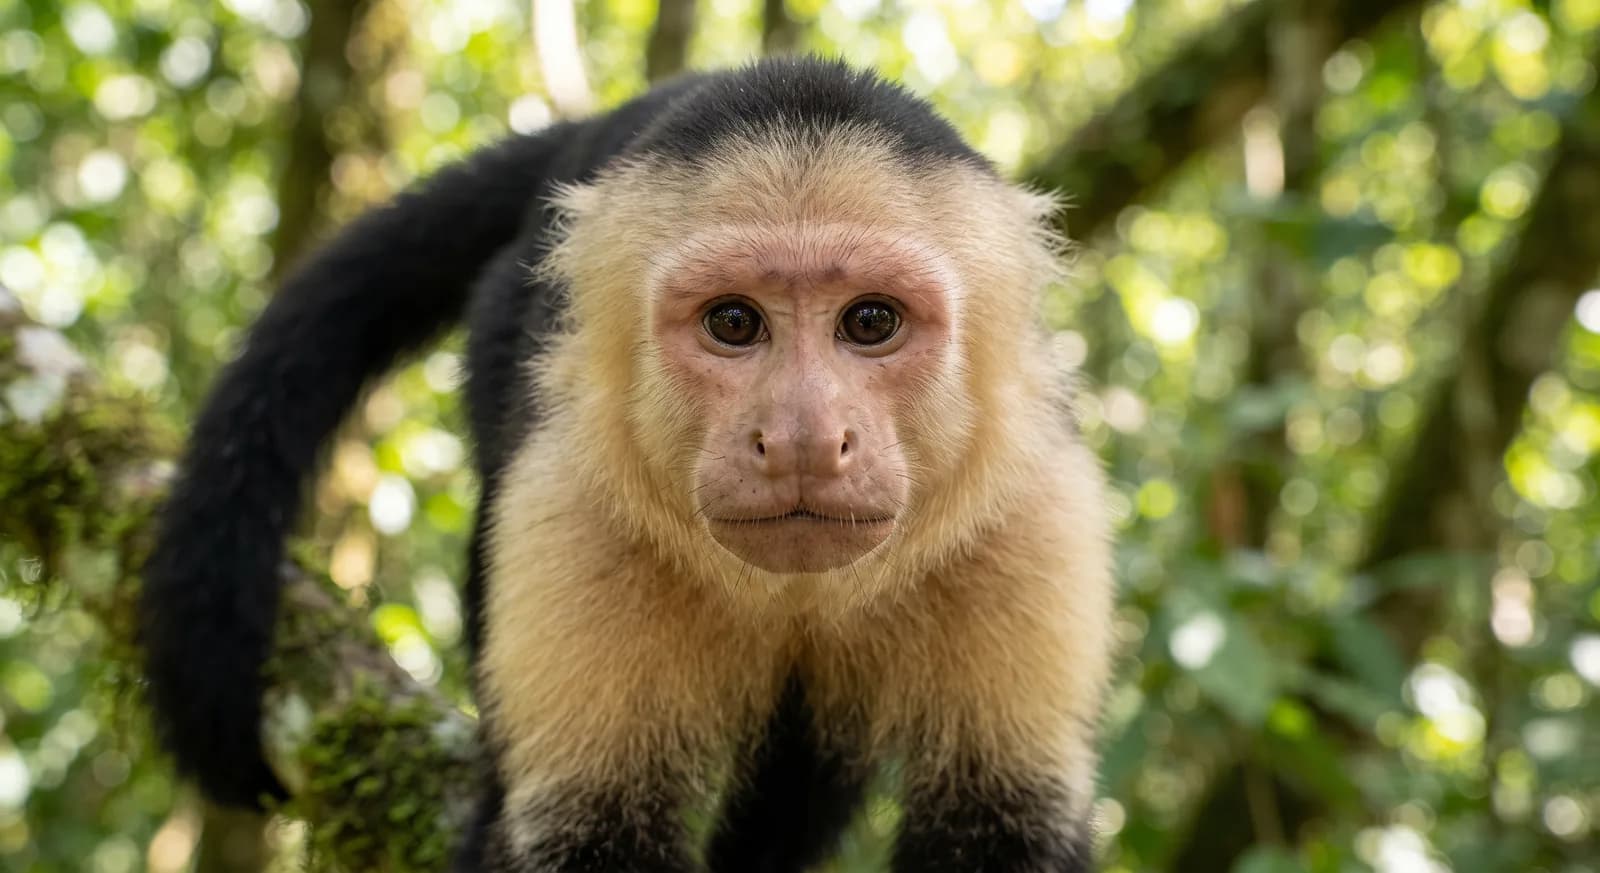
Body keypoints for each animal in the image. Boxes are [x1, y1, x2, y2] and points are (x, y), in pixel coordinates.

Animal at [138, 58, 1114, 872]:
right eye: (734, 322)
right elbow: (589, 828)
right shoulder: (574, 502)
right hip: (507, 317)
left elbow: (1005, 830)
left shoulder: (1030, 512)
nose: (802, 437)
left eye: (871, 321)